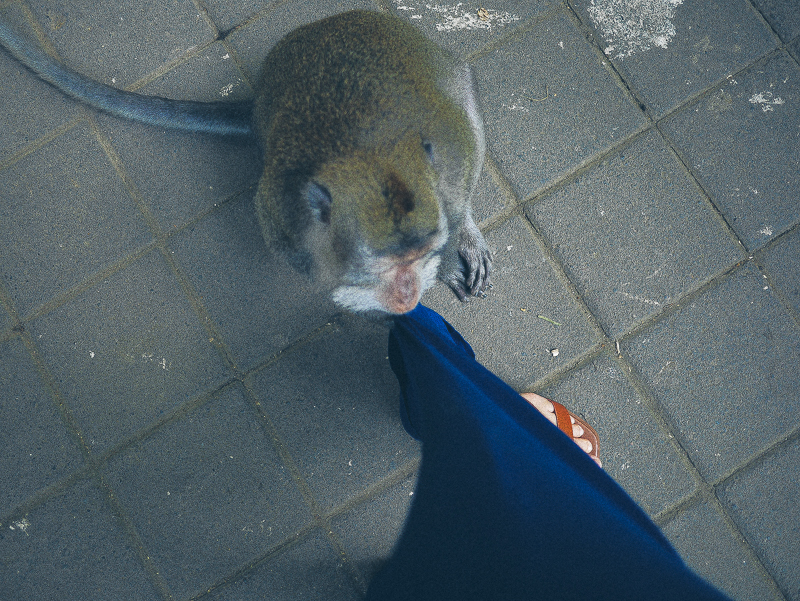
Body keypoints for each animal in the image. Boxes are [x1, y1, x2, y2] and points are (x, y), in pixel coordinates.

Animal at [0, 9, 490, 314]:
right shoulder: (281, 215)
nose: (408, 294)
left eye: (419, 253)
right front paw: (360, 294)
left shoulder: (451, 166)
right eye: (385, 265)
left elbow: (459, 187)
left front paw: (452, 248)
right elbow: (308, 264)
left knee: (463, 92)